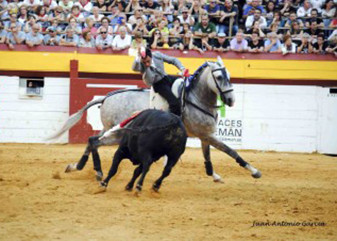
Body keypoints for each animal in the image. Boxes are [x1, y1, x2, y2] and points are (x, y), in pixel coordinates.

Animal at [50, 58, 262, 183]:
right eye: (218, 76)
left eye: (229, 75)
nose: (231, 100)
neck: (196, 97)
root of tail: (106, 97)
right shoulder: (207, 135)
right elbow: (231, 151)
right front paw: (254, 171)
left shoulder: (205, 136)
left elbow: (208, 157)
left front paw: (215, 176)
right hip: (118, 133)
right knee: (95, 142)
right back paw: (96, 171)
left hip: (110, 130)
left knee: (92, 141)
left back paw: (78, 167)